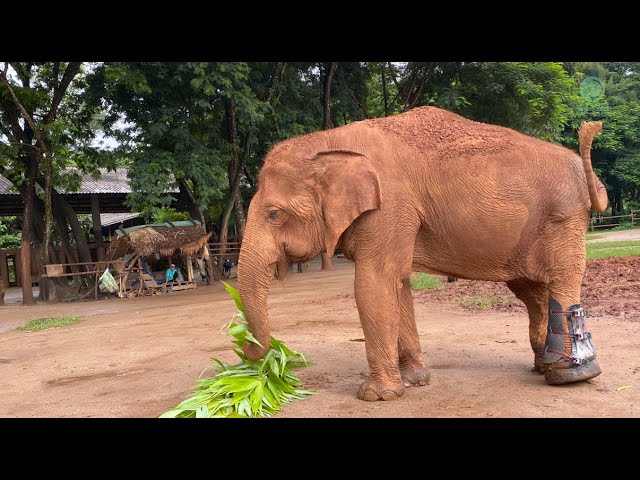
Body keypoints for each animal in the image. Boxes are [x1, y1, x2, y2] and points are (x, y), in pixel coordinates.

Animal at [238, 107, 608, 404]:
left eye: (274, 214)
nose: (246, 349)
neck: (327, 141)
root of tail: (586, 173)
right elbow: (397, 282)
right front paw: (415, 381)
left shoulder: (389, 205)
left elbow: (374, 282)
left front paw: (377, 396)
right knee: (532, 291)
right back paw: (544, 367)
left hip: (562, 218)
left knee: (560, 281)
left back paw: (569, 376)